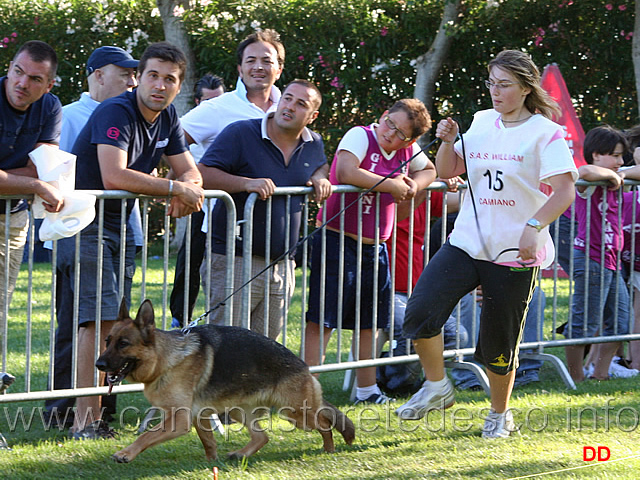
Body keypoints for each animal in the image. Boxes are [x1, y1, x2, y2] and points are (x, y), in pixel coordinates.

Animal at [95, 300, 356, 462]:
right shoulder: (198, 415)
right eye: (107, 341)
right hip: (239, 410)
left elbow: (146, 435)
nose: (99, 365)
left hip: (295, 414)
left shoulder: (179, 419)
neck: (165, 359)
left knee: (325, 423)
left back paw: (329, 449)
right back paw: (241, 454)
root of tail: (304, 366)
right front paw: (212, 464)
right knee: (262, 436)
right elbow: (208, 442)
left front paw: (126, 454)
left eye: (123, 344)